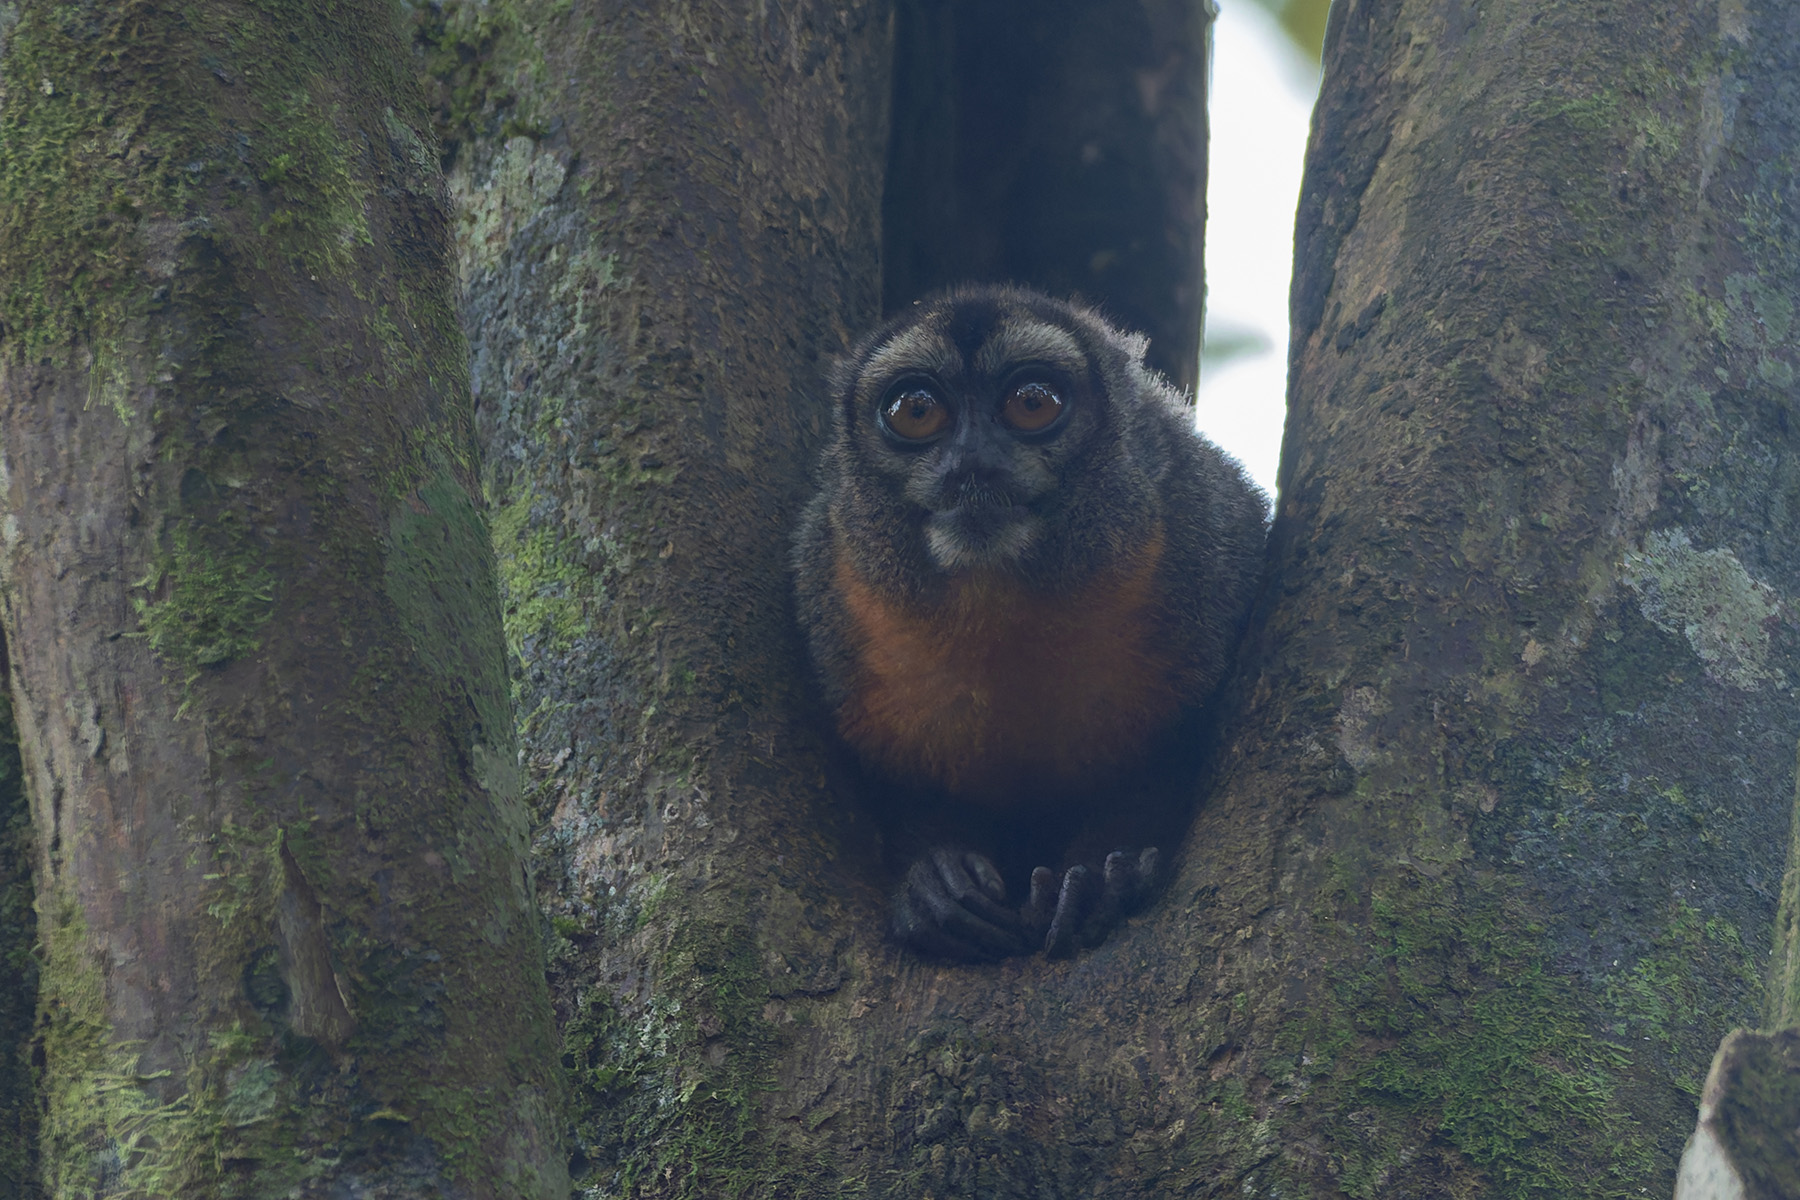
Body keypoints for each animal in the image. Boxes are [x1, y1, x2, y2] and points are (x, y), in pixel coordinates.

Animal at [793, 285, 1266, 961]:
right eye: (916, 411)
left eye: (1032, 403)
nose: (971, 466)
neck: (998, 599)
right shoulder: (831, 582)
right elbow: (906, 785)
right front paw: (936, 885)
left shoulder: (1206, 533)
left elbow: (1165, 759)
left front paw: (1096, 880)